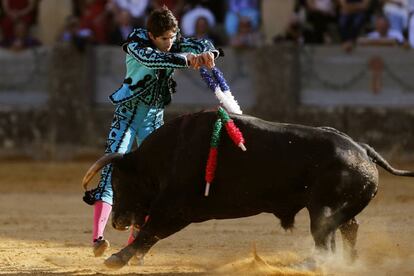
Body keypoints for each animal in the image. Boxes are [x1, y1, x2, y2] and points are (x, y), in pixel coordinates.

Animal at [81, 111, 414, 268]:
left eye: (119, 181)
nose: (118, 221)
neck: (166, 154)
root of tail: (361, 149)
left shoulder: (177, 208)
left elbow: (150, 231)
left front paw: (117, 259)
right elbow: (150, 234)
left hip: (322, 209)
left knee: (325, 238)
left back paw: (311, 264)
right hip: (337, 209)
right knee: (348, 230)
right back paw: (347, 263)